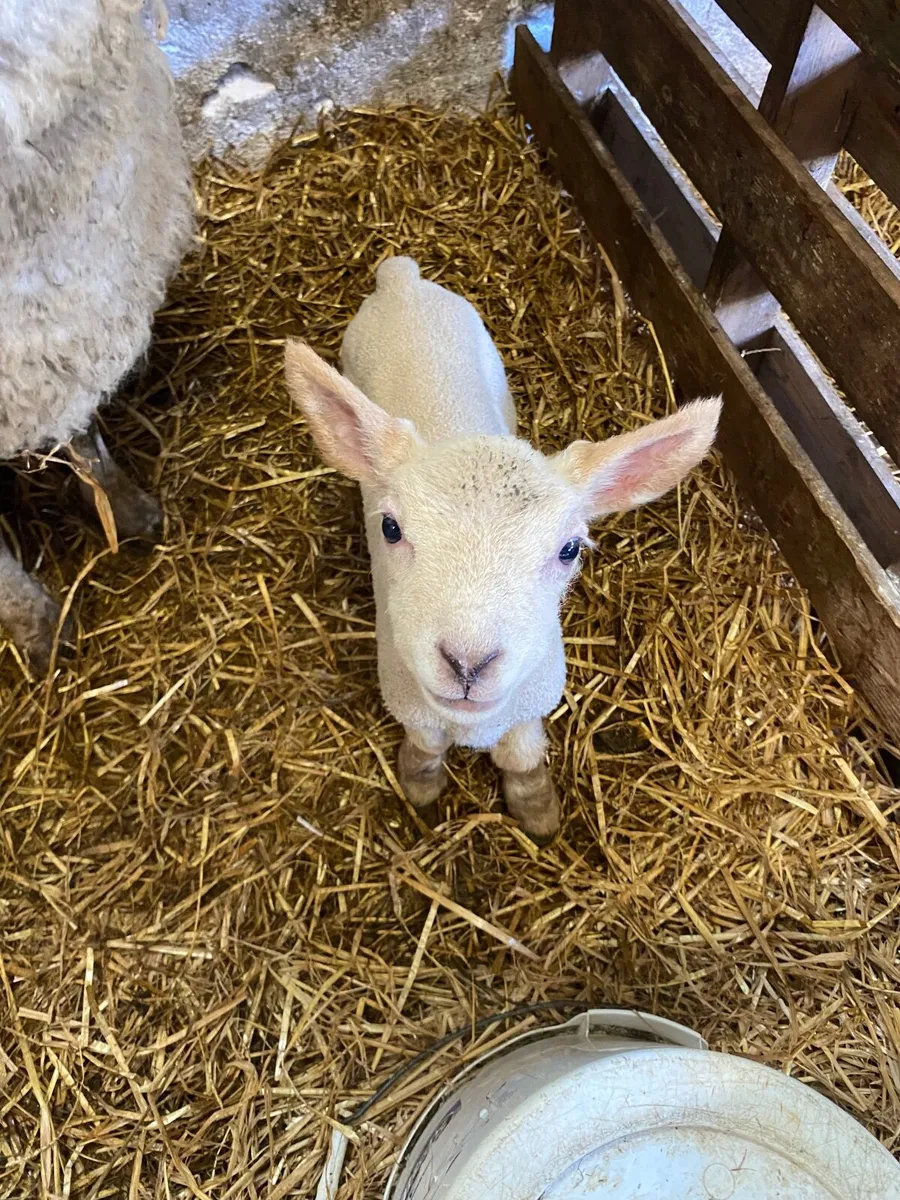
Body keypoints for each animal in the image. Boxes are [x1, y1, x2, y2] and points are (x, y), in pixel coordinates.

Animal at [284, 257, 721, 842]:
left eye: (569, 550)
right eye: (391, 528)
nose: (468, 663)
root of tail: (401, 280)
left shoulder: (533, 702)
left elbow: (522, 759)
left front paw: (538, 813)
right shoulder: (410, 703)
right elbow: (426, 746)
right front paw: (419, 785)